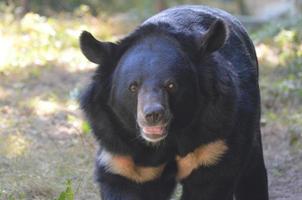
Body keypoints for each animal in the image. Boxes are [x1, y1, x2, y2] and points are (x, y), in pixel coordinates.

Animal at [79, 4, 268, 200]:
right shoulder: (123, 156)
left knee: (252, 172)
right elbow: (125, 184)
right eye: (133, 87)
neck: (166, 140)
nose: (153, 115)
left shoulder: (213, 144)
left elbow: (209, 184)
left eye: (171, 85)